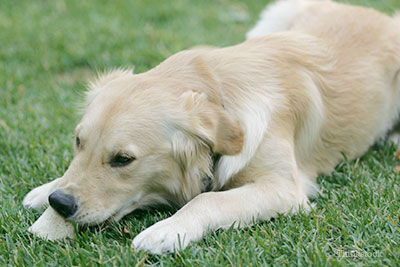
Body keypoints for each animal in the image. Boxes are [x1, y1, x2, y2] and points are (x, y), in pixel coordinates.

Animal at [21, 0, 400, 255]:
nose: (60, 202)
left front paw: (168, 230)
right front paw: (46, 190)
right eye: (78, 141)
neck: (219, 93)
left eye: (123, 159)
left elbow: (208, 200)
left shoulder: (284, 189)